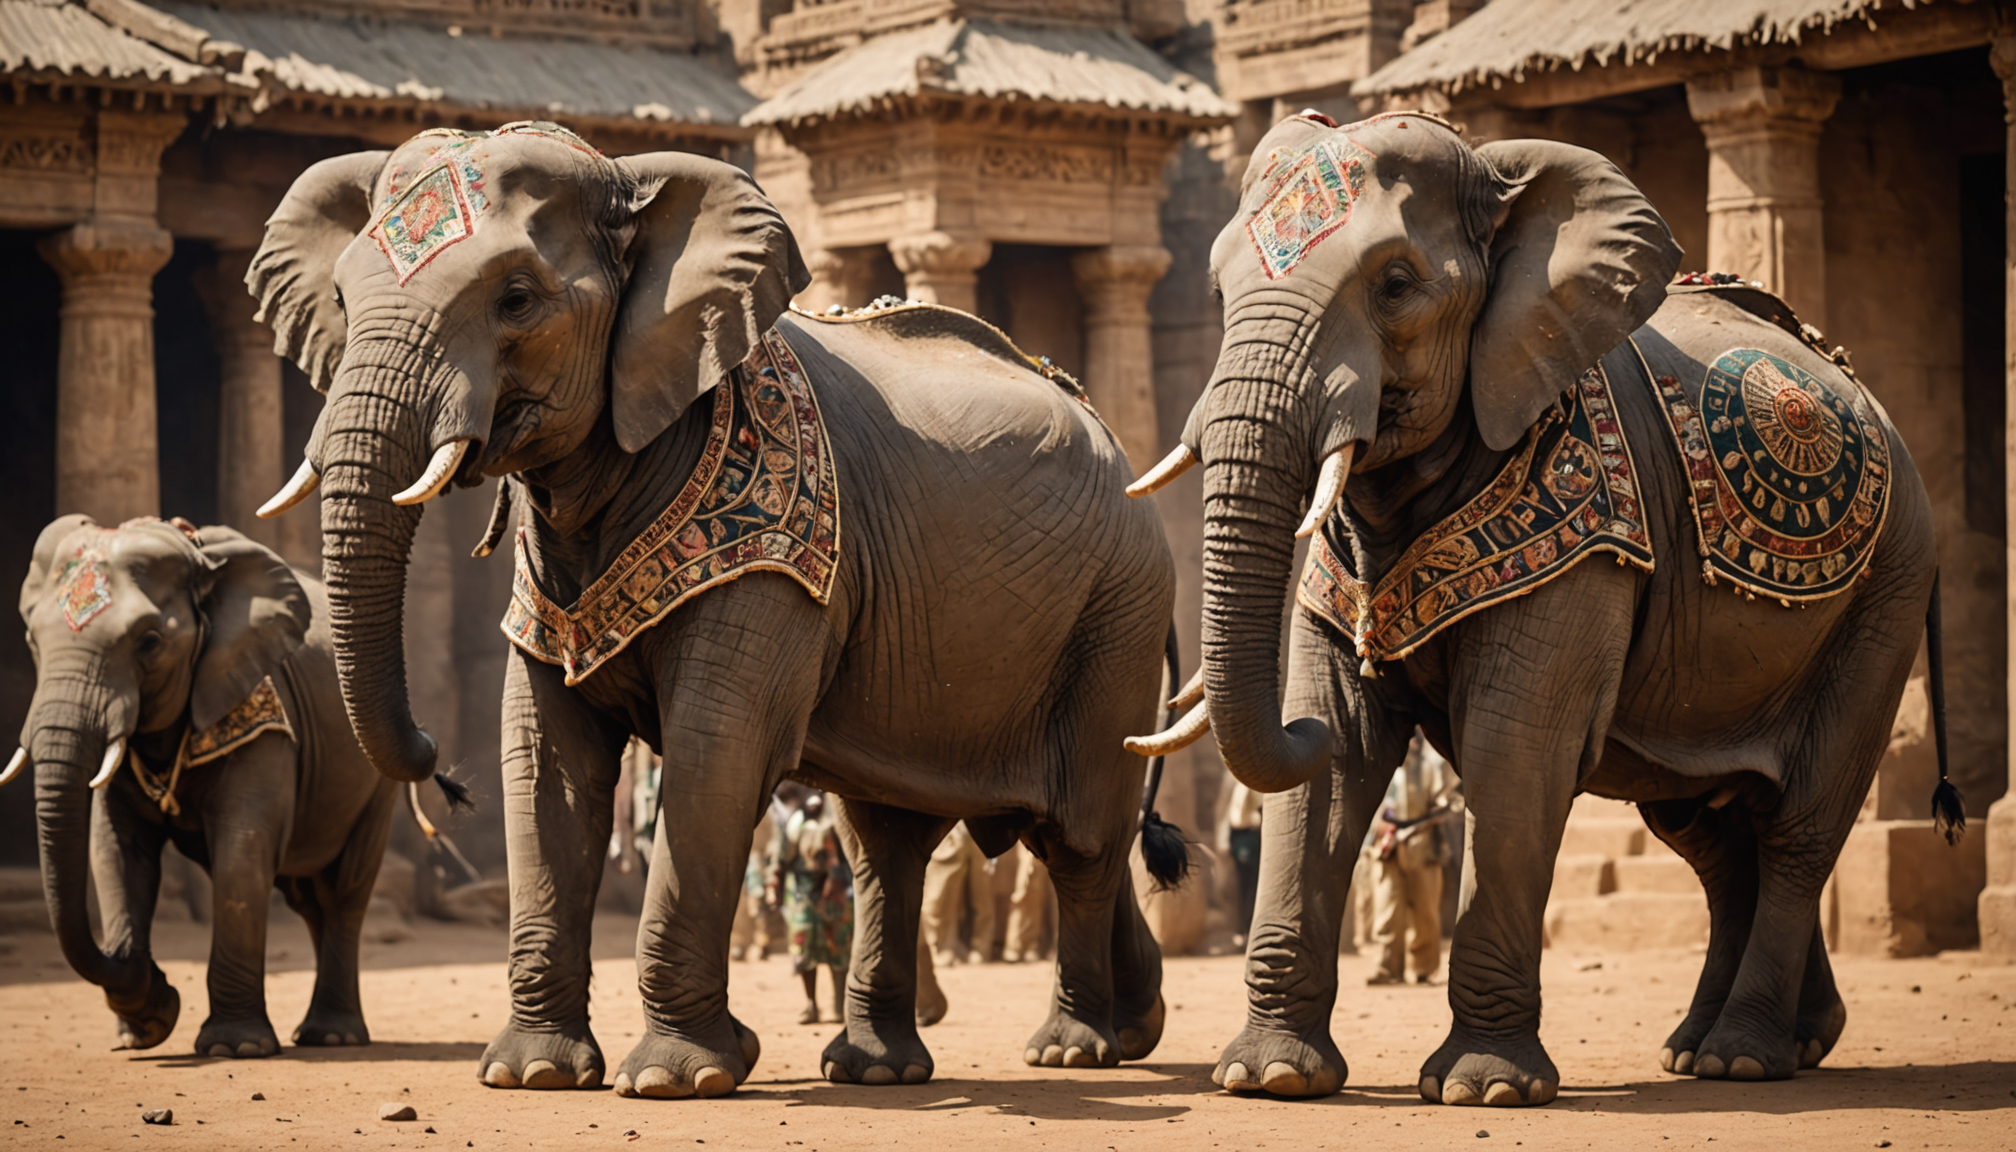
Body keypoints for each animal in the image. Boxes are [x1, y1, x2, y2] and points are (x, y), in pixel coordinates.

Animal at [9, 514, 401, 1057]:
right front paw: (143, 1029)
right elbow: (116, 852)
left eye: (149, 642)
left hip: (377, 780)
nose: (163, 984)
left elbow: (242, 851)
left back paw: (332, 1037)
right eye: (32, 640)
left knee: (343, 889)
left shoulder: (263, 717)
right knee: (308, 899)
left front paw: (232, 1048)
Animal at [244, 121, 1175, 1097]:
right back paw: (916, 1061)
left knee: (1078, 834)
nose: (434, 760)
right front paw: (534, 1074)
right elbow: (547, 759)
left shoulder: (776, 558)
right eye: (340, 297)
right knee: (893, 839)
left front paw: (675, 1078)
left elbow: (716, 750)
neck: (631, 182)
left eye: (517, 300)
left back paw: (1071, 1047)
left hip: (1119, 612)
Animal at [1123, 111, 1947, 1106]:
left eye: (1395, 285)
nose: (1366, 652)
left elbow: (1514, 744)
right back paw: (1745, 1047)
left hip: (1888, 588)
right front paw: (1269, 1077)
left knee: (1797, 825)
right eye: (1216, 289)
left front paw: (1483, 1088)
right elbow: (1342, 744)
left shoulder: (1589, 534)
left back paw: (1741, 1057)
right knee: (1708, 830)